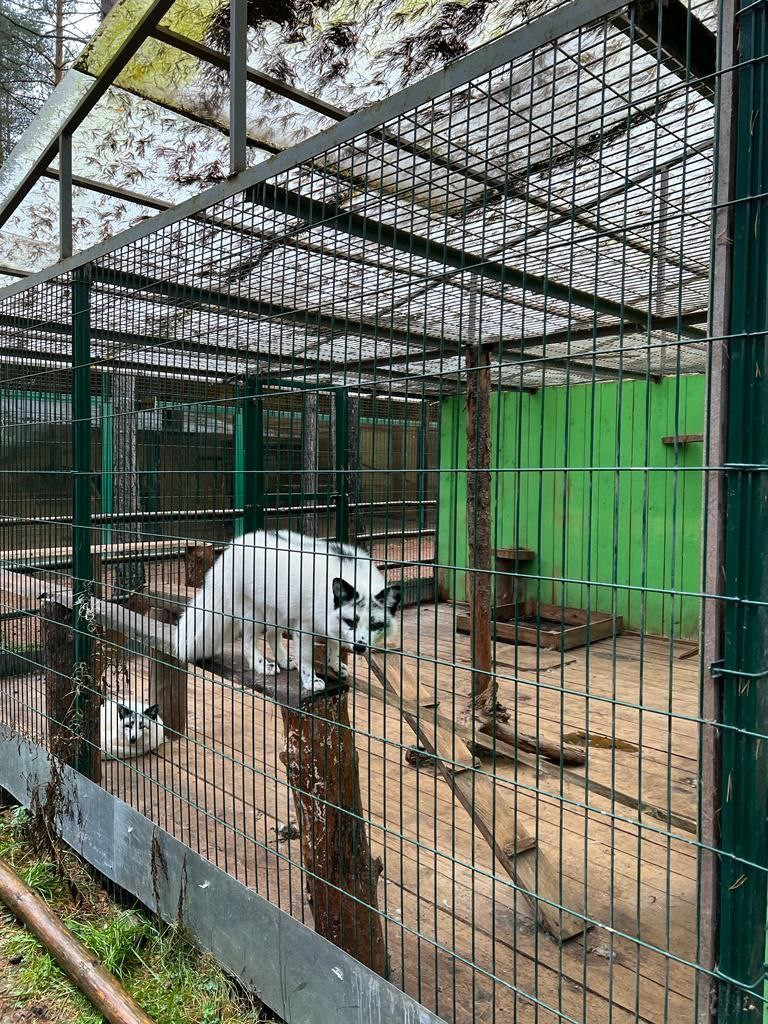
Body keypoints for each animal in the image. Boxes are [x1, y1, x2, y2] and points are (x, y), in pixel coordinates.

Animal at [174, 532, 403, 692]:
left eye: (375, 625)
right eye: (352, 621)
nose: (360, 648)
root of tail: (232, 547)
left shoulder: (328, 622)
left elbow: (333, 645)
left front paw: (335, 665)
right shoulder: (306, 626)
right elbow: (307, 658)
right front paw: (312, 681)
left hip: (280, 614)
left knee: (271, 636)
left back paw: (284, 661)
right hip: (254, 615)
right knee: (248, 642)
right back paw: (262, 666)